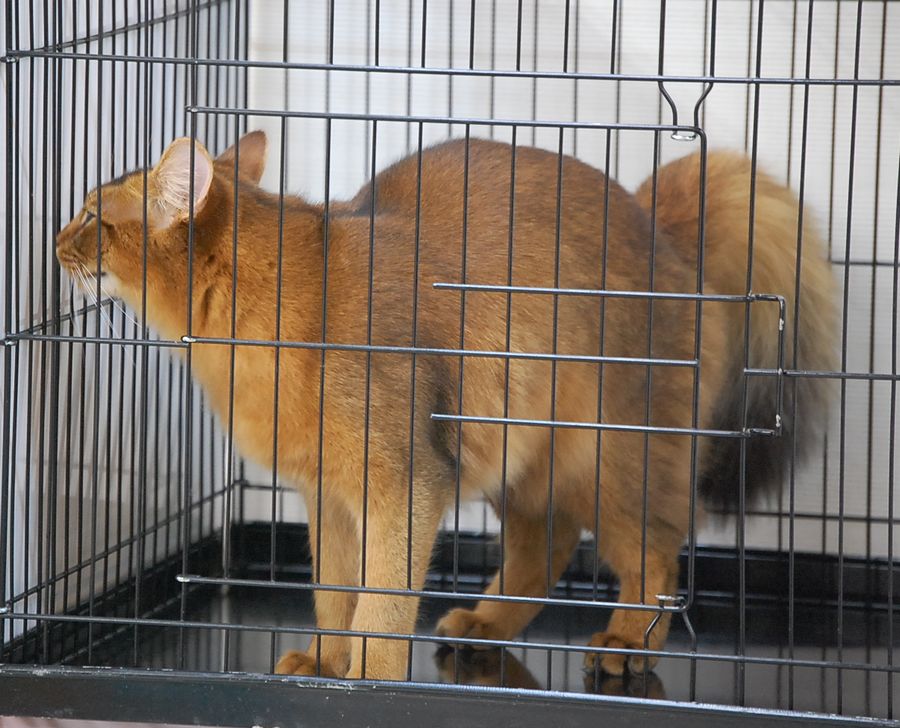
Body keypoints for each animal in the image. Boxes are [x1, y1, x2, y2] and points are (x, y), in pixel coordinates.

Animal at [57, 129, 836, 680]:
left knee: (655, 559)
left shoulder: (405, 479)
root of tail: (657, 227)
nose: (58, 241)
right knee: (546, 541)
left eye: (94, 214)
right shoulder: (328, 495)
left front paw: (368, 676)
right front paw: (327, 661)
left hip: (618, 456)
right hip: (518, 452)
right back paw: (488, 625)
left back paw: (625, 643)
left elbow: (384, 596)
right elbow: (335, 588)